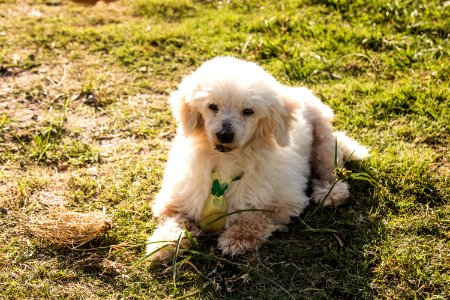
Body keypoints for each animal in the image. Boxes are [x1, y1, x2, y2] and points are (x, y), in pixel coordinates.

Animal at [146, 56, 368, 260]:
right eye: (212, 106)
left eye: (248, 111)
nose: (225, 134)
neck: (227, 162)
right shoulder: (173, 200)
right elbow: (175, 220)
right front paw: (162, 244)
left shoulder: (287, 201)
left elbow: (259, 216)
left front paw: (237, 238)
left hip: (323, 141)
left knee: (331, 170)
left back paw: (330, 192)